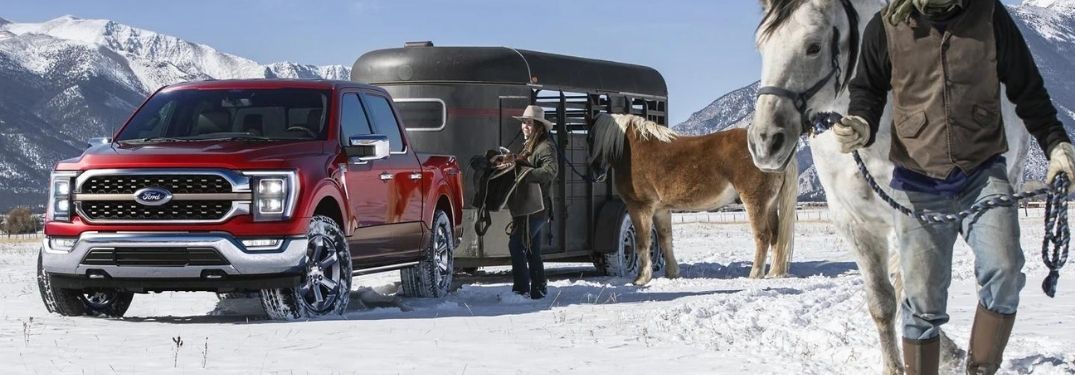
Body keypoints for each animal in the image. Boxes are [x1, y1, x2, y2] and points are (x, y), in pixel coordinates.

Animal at [589, 113, 799, 283]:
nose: (595, 173)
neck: (634, 150)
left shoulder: (640, 207)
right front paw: (672, 273)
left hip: (755, 202)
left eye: (591, 137)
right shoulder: (661, 209)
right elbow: (665, 239)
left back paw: (755, 274)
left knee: (763, 236)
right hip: (770, 205)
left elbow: (643, 240)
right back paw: (774, 273)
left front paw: (641, 278)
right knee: (776, 236)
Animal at [748, 1, 1032, 371]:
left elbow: (908, 290)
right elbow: (883, 302)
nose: (765, 141)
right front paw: (894, 365)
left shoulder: (909, 218)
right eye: (761, 46)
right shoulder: (853, 222)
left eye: (813, 46)